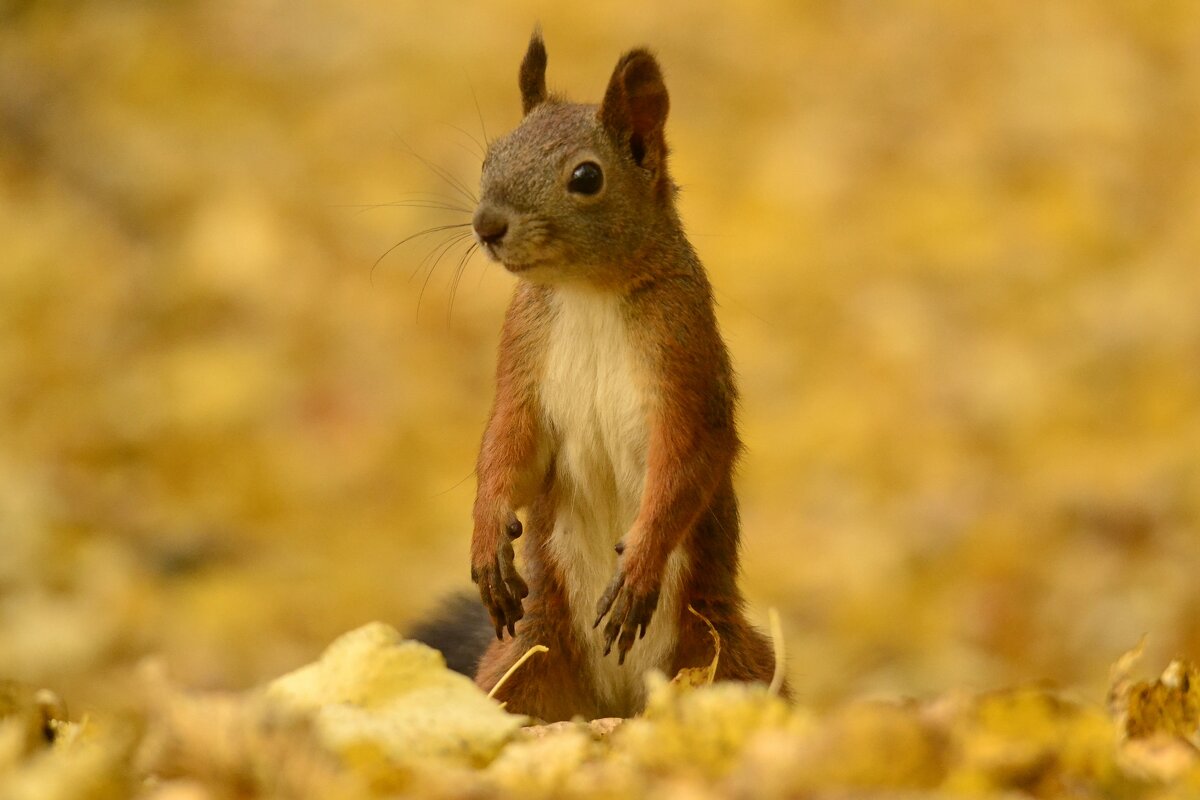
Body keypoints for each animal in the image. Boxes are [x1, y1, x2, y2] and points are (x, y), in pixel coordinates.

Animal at [453, 31, 782, 724]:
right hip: (525, 656)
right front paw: (487, 536)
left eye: (587, 177)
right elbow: (509, 447)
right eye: (493, 153)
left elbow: (689, 459)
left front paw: (640, 569)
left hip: (723, 657)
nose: (486, 225)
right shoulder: (523, 359)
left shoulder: (685, 357)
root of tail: (619, 706)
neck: (588, 292)